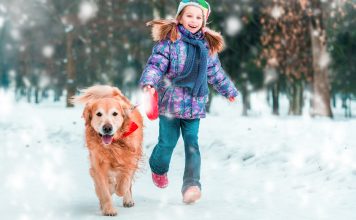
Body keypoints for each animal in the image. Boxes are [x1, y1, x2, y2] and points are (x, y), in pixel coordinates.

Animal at [71, 85, 143, 216]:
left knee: (127, 184)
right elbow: (104, 191)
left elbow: (123, 184)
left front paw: (117, 189)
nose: (107, 128)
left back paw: (128, 200)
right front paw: (108, 209)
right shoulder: (98, 165)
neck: (112, 145)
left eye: (115, 113)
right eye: (99, 114)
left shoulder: (131, 159)